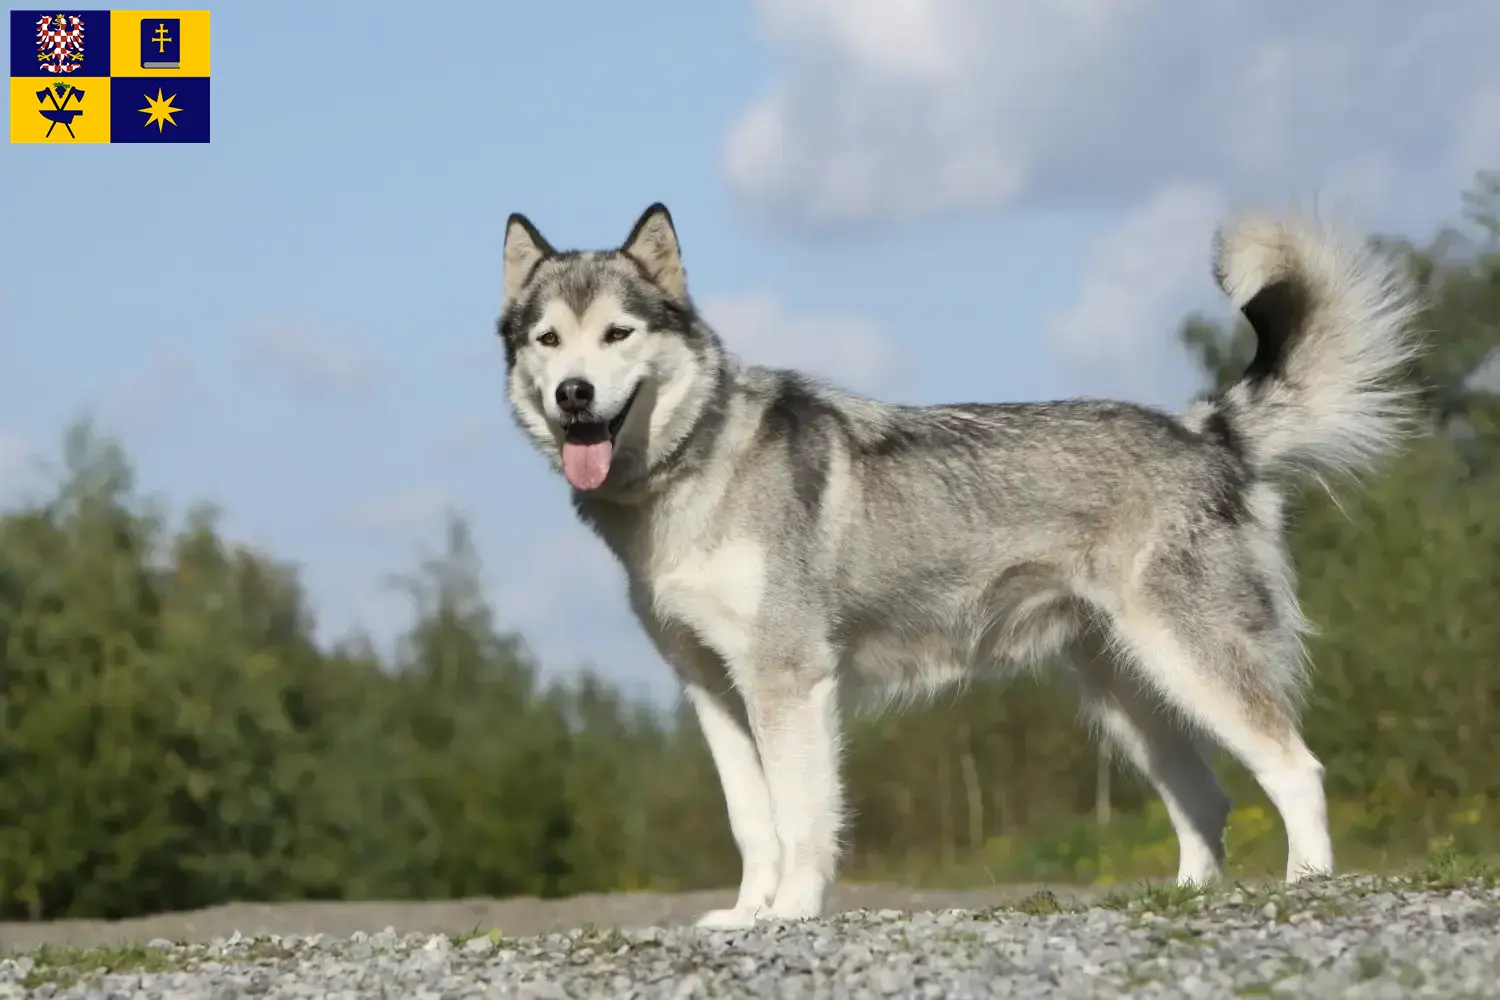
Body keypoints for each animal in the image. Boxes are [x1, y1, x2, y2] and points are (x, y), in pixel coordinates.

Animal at [498, 203, 1422, 929]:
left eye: (617, 334)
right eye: (549, 340)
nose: (574, 395)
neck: (691, 474)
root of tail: (1204, 430)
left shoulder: (789, 682)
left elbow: (801, 819)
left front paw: (792, 912)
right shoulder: (713, 690)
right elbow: (751, 822)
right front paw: (746, 915)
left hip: (1194, 665)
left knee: (1295, 771)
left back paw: (1306, 887)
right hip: (1128, 699)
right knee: (1205, 798)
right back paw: (1185, 896)